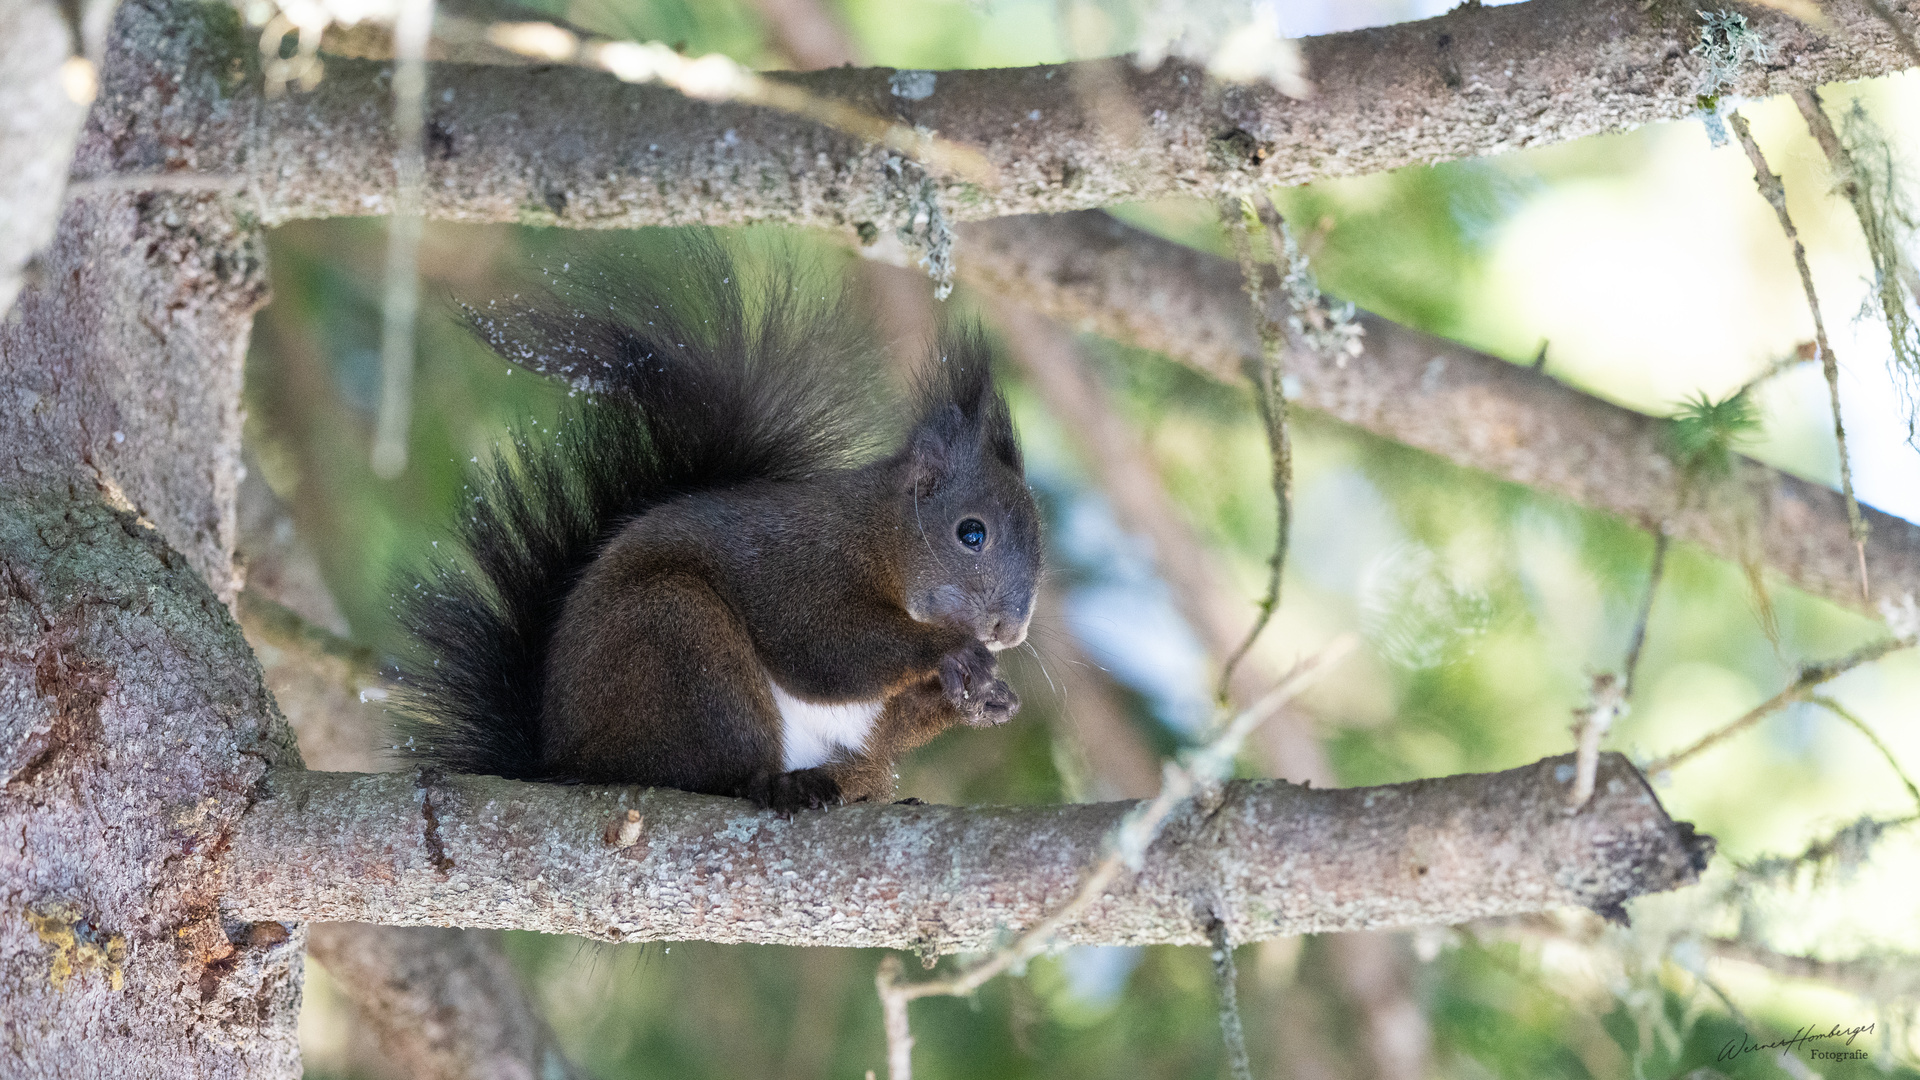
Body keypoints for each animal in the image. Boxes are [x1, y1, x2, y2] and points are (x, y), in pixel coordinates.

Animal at [389, 242, 1044, 807]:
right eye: (971, 533)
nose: (1008, 632)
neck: (877, 533)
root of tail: (562, 763)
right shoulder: (800, 563)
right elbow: (823, 648)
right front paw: (954, 654)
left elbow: (890, 713)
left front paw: (988, 699)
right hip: (680, 642)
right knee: (710, 769)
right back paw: (775, 784)